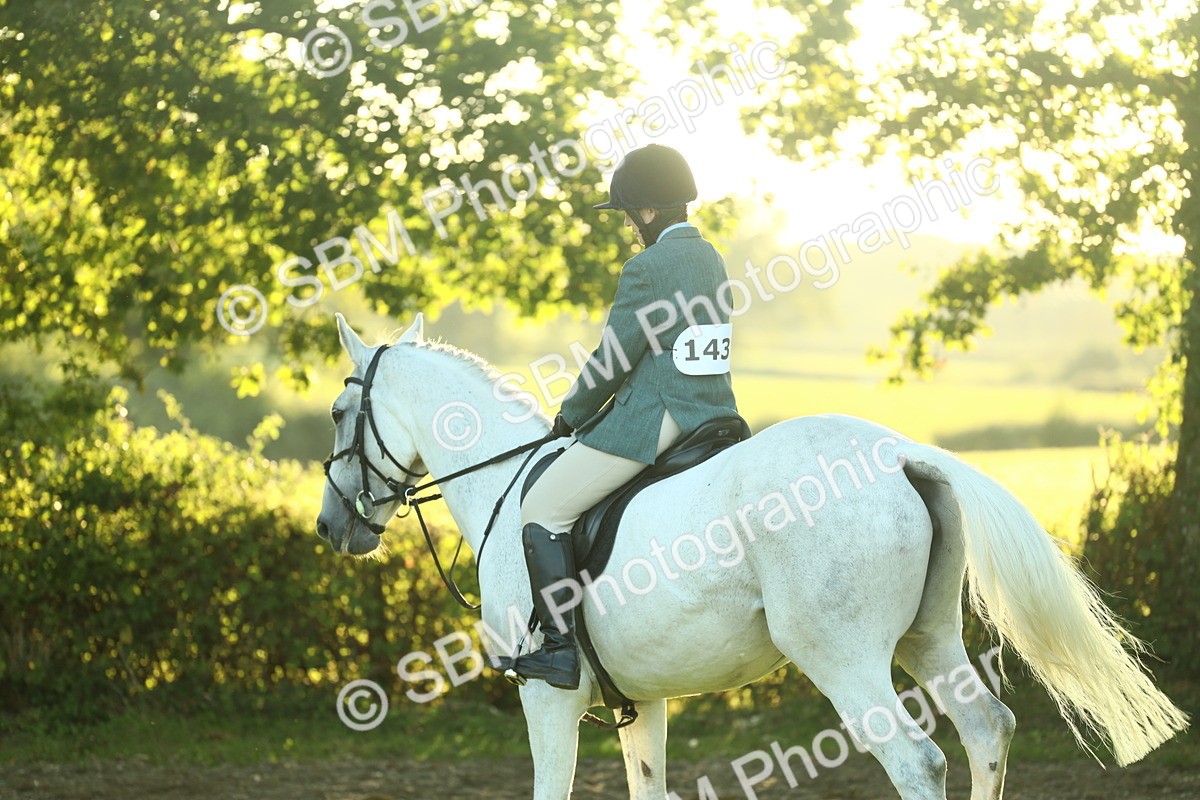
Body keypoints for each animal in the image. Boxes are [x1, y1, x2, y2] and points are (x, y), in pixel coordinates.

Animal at [316, 312, 1187, 800]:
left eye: (334, 413)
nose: (331, 527)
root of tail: (900, 454)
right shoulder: (643, 700)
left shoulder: (547, 697)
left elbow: (549, 790)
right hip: (930, 637)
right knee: (986, 730)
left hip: (843, 656)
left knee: (918, 762)